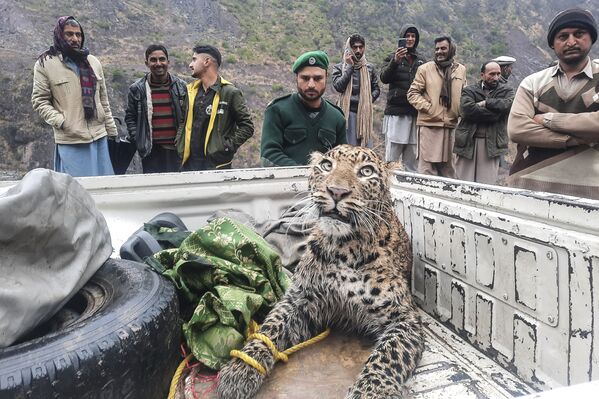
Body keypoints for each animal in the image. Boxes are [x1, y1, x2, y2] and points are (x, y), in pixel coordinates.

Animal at [218, 145, 424, 398]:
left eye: (366, 171)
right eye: (327, 165)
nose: (336, 191)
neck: (343, 248)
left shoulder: (404, 317)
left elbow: (388, 355)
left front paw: (370, 392)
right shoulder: (300, 299)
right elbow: (271, 326)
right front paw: (242, 367)